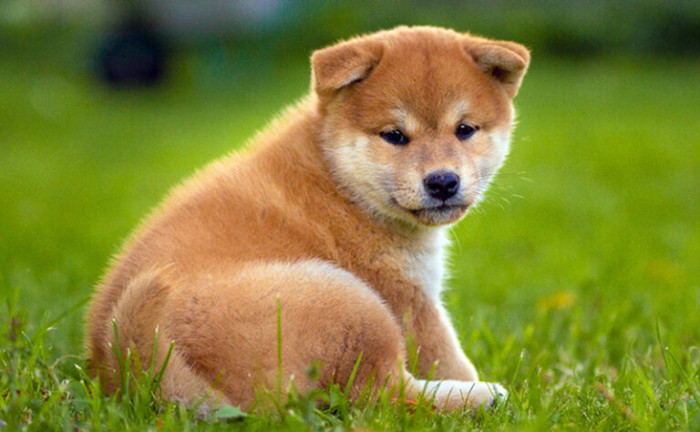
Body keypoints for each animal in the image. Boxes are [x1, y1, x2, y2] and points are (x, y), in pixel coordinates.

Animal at [85, 26, 529, 412]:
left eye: (465, 129)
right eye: (395, 135)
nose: (442, 182)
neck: (339, 180)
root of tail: (133, 376)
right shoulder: (409, 299)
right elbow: (450, 357)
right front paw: (482, 383)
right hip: (350, 303)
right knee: (383, 393)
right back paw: (486, 397)